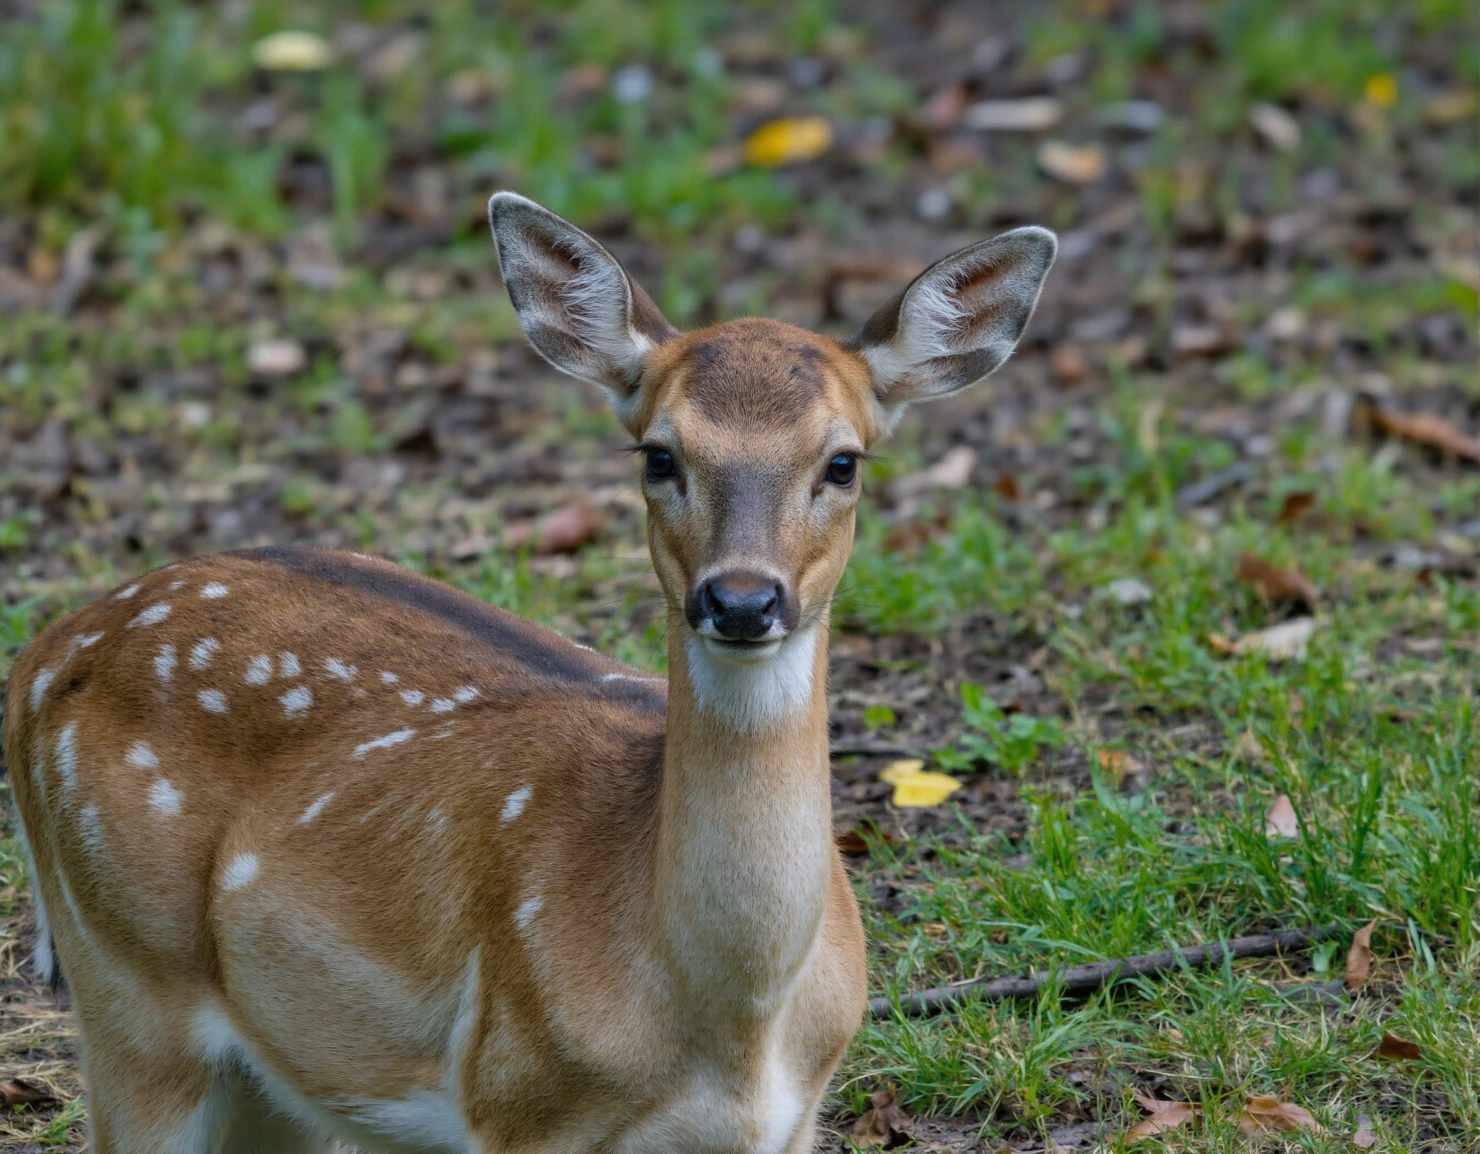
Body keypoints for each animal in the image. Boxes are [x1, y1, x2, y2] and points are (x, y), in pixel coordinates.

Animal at [4, 192, 1055, 1153]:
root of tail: (42, 653)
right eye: (658, 454)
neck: (736, 1032)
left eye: (842, 462)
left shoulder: (797, 1119)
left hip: (274, 1073)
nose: (742, 599)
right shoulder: (516, 1097)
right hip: (128, 985)